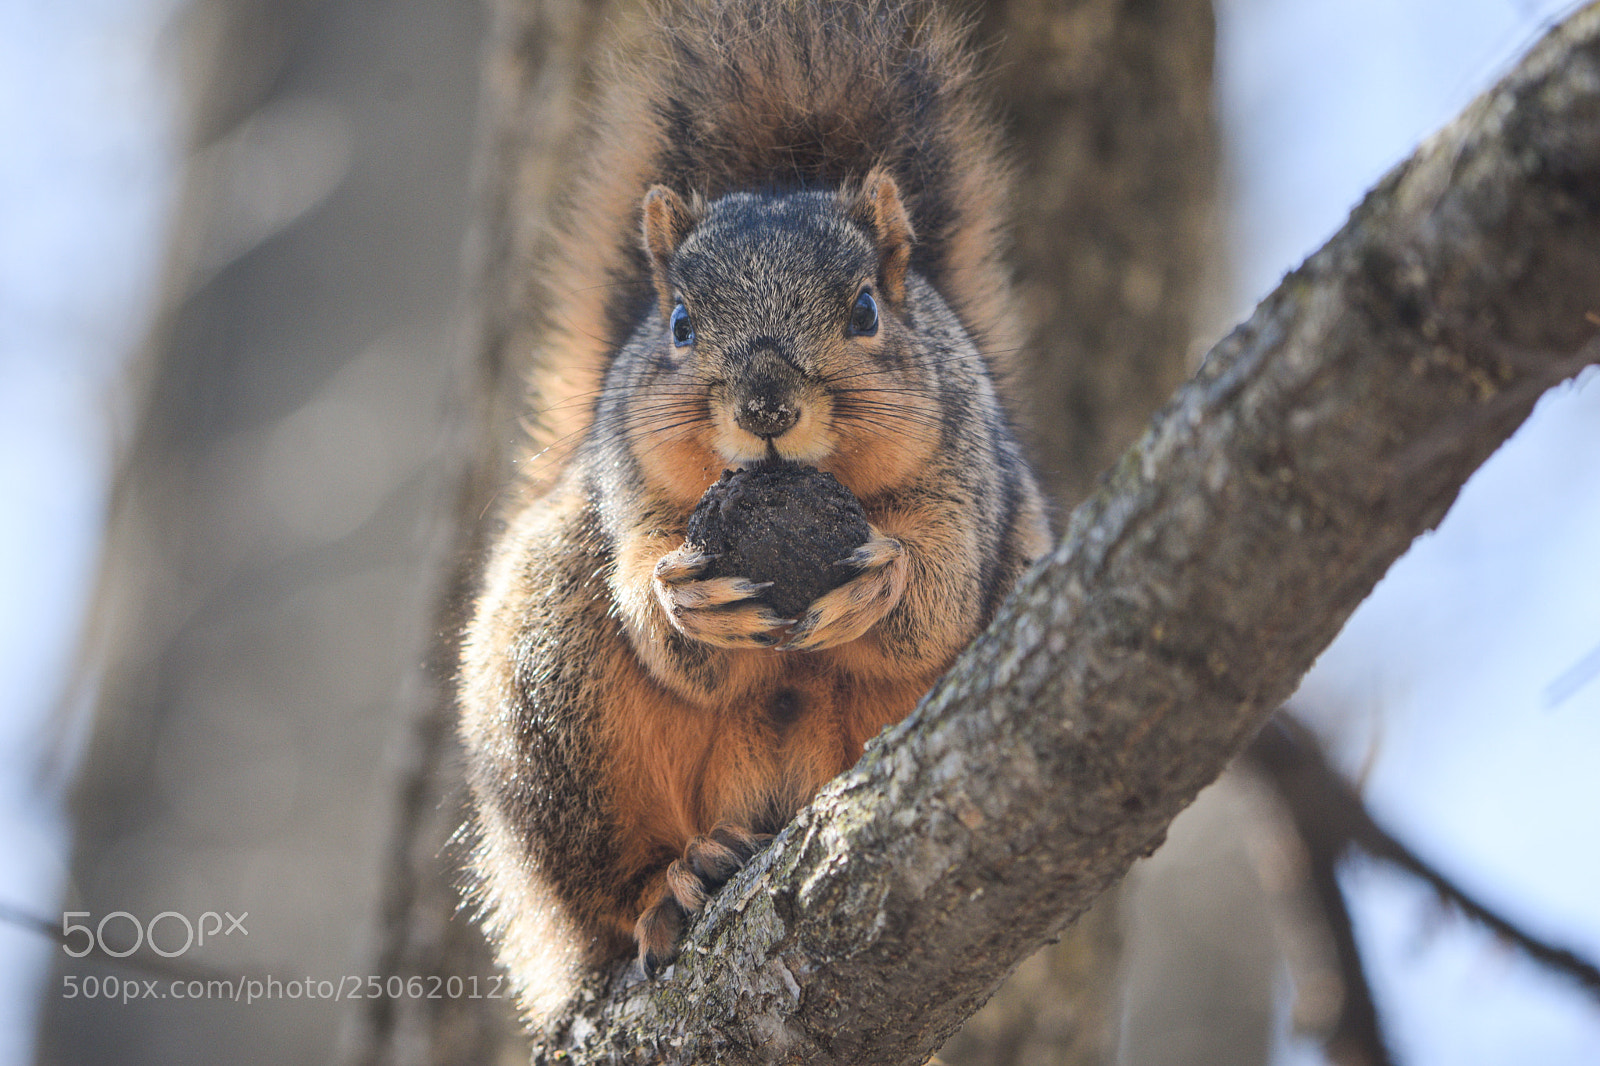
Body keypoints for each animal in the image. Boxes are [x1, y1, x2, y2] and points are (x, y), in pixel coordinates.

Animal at [457, 0, 1051, 1028]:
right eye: (681, 325)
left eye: (866, 311)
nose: (766, 404)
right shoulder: (630, 488)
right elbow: (666, 633)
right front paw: (680, 598)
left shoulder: (966, 476)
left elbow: (935, 602)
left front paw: (887, 580)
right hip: (549, 716)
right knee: (601, 897)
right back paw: (671, 885)